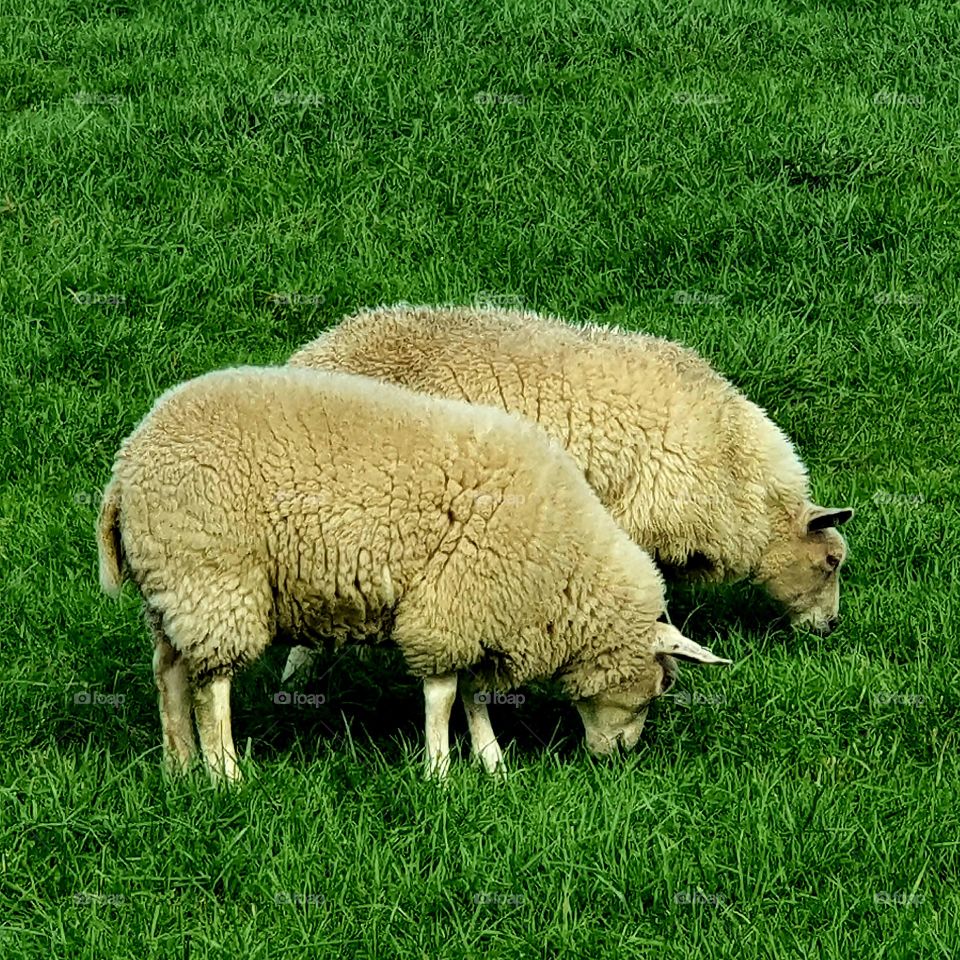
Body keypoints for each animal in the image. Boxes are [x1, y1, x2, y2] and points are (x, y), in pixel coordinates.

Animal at [97, 365, 731, 783]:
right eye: (661, 685)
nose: (617, 759)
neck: (565, 570)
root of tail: (126, 469)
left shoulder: (478, 615)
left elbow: (474, 695)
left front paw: (492, 763)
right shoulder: (451, 606)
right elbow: (444, 696)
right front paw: (440, 771)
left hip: (172, 589)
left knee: (169, 673)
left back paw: (178, 763)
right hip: (213, 579)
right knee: (212, 686)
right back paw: (224, 772)